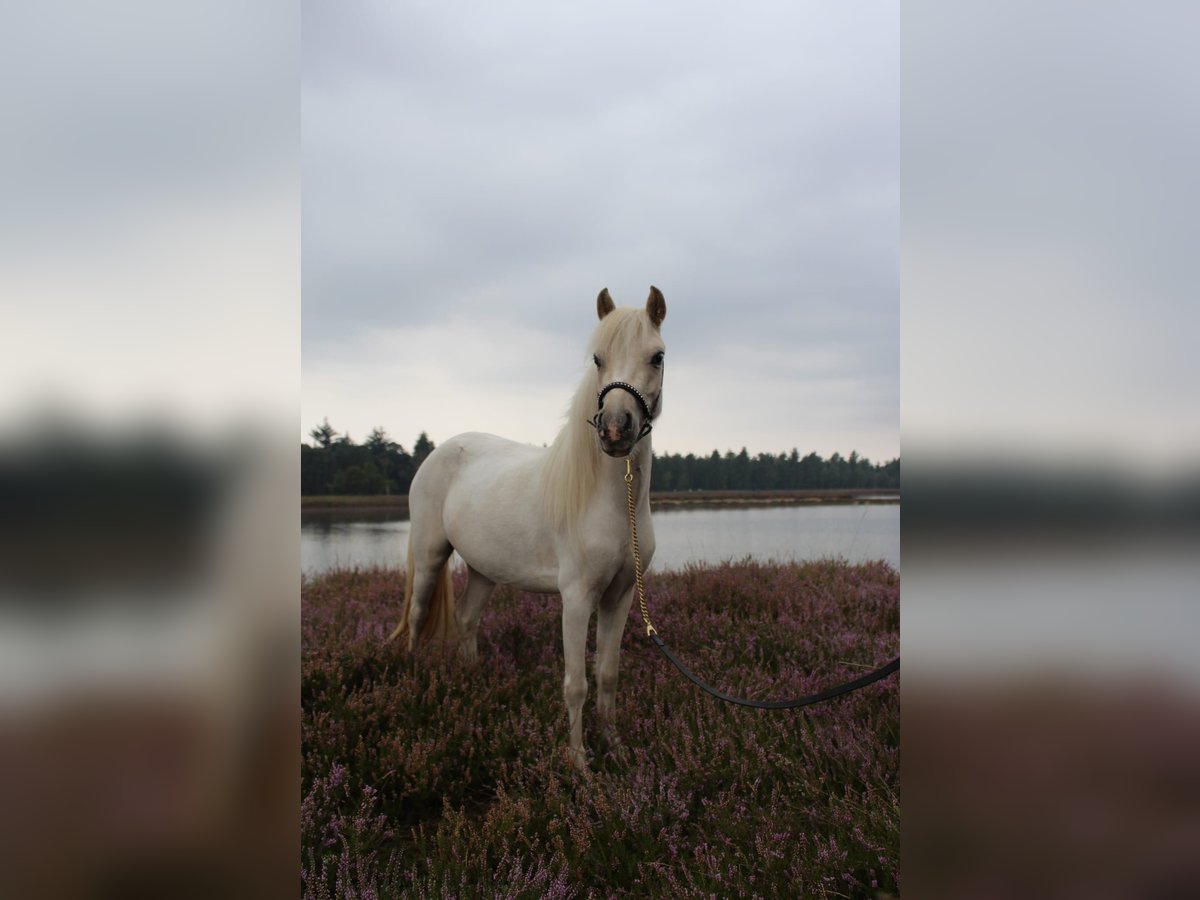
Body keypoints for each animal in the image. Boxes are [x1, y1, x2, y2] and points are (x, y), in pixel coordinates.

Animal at [393, 286, 672, 768]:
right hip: (430, 555)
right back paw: (413, 675)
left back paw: (474, 680)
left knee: (467, 618)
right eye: (597, 358)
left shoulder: (619, 597)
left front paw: (616, 749)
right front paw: (579, 762)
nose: (615, 431)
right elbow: (576, 683)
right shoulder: (576, 598)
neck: (614, 505)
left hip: (484, 570)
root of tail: (441, 450)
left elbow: (608, 674)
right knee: (417, 612)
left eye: (656, 356)